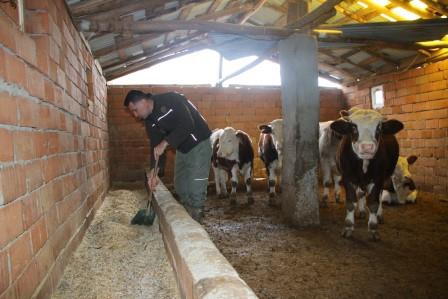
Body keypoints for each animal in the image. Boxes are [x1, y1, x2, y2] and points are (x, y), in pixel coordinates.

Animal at [330, 108, 404, 241]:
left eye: (379, 128)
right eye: (353, 127)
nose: (367, 147)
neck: (363, 163)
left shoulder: (378, 178)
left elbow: (374, 202)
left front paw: (373, 228)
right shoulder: (348, 177)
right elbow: (350, 202)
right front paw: (348, 227)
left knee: (379, 195)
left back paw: (379, 215)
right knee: (360, 193)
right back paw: (361, 211)